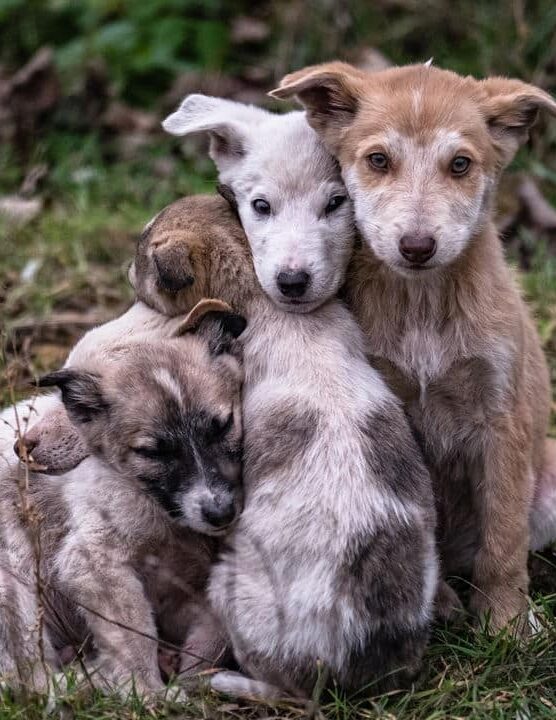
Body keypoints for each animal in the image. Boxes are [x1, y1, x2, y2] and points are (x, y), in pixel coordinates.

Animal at [0, 300, 244, 696]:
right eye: (152, 452)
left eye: (222, 427)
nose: (220, 514)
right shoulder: (95, 562)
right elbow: (134, 635)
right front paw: (149, 693)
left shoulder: (189, 588)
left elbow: (216, 631)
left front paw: (191, 670)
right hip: (12, 589)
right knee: (31, 679)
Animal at [274, 63, 556, 636]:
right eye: (379, 160)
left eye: (460, 164)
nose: (417, 247)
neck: (423, 303)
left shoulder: (504, 417)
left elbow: (504, 536)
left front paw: (506, 625)